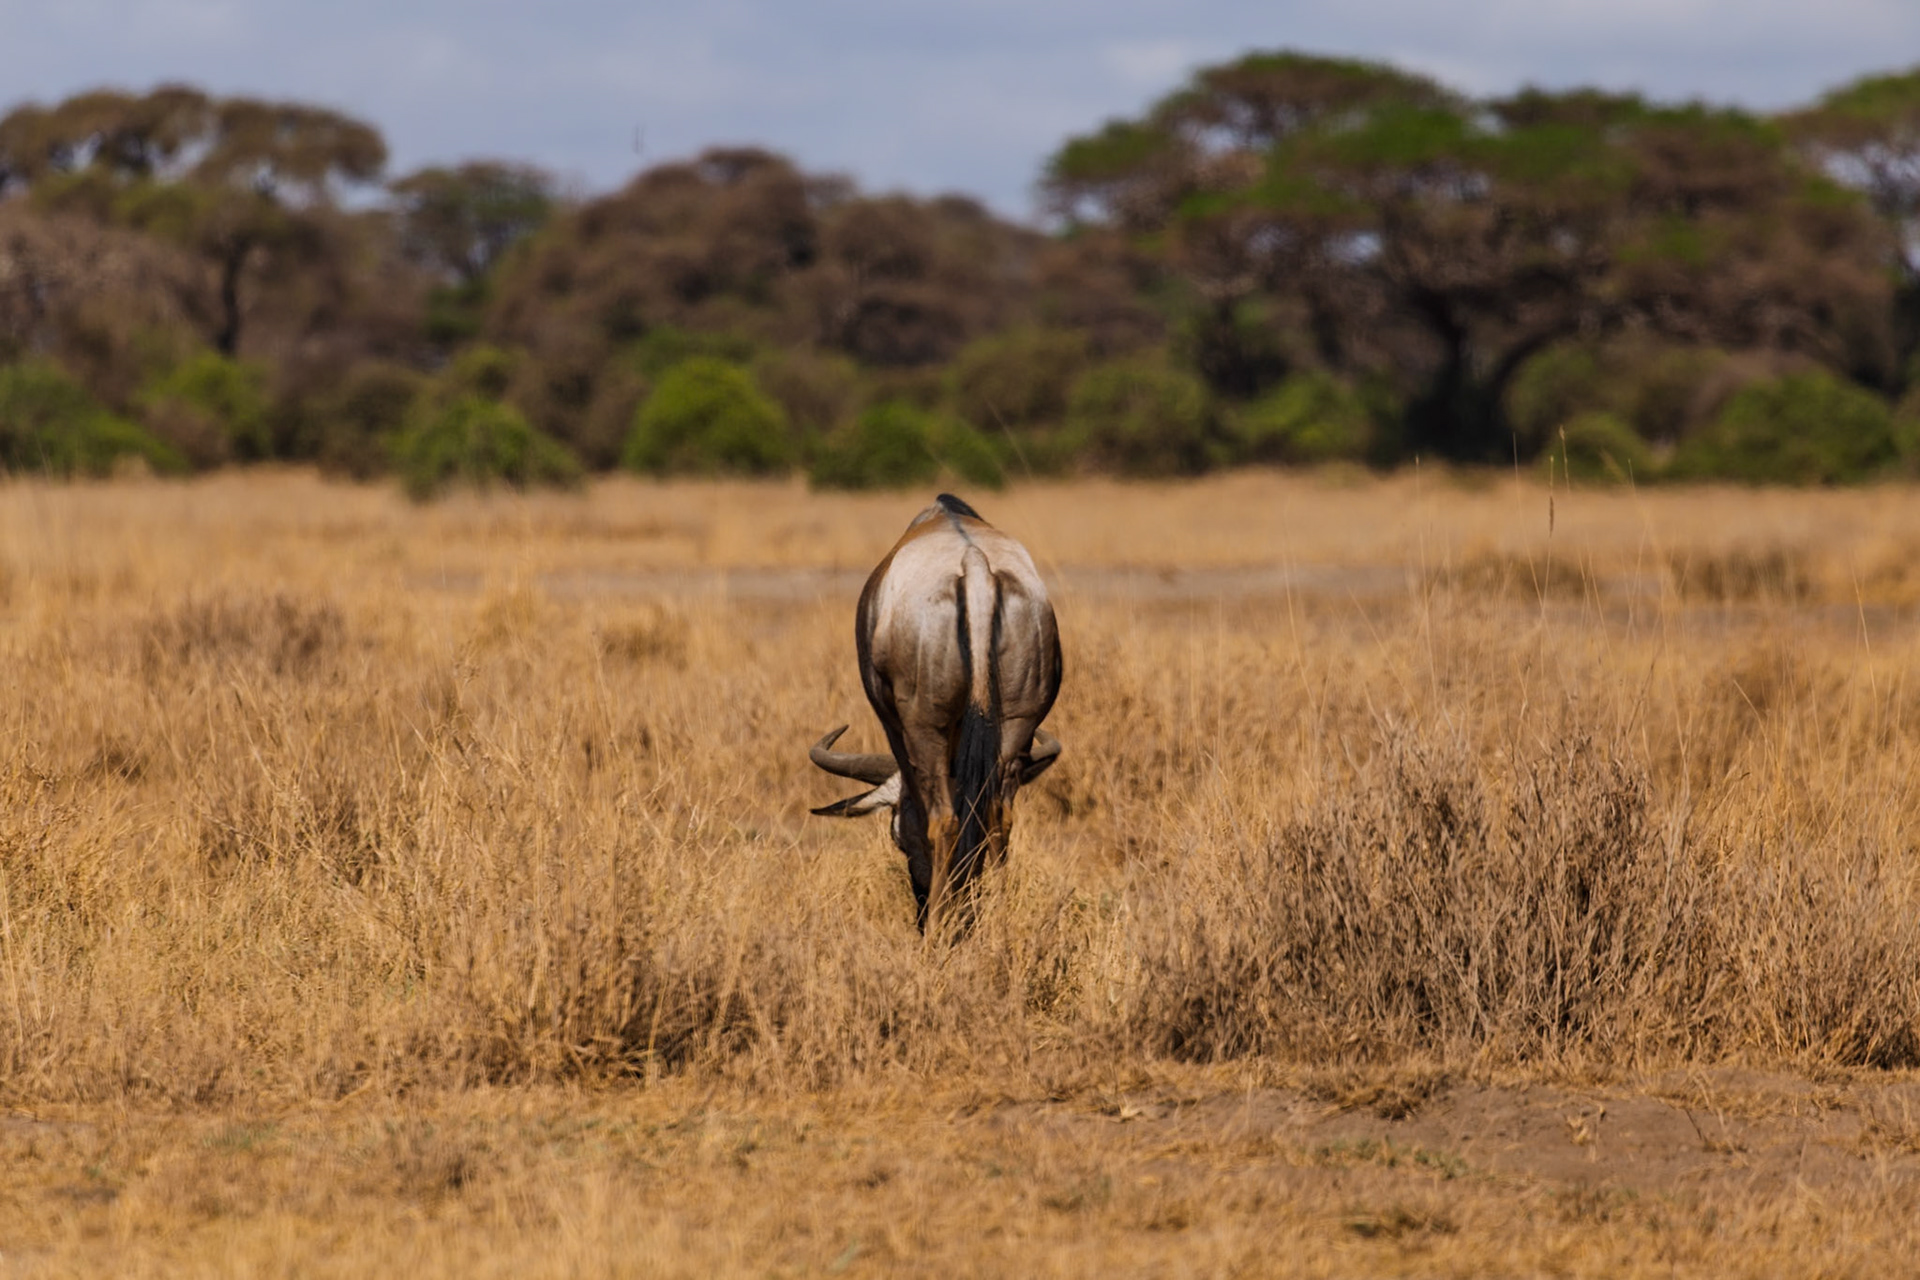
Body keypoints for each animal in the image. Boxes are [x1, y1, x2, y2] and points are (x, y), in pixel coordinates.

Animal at [808, 494, 1063, 930]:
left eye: (895, 835)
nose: (920, 908)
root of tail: (975, 565)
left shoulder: (897, 729)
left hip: (924, 730)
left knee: (944, 819)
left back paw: (943, 929)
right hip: (1015, 728)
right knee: (997, 816)